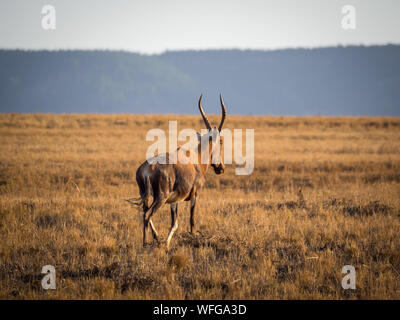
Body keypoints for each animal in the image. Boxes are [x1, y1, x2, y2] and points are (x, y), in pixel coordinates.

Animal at [130, 94, 227, 249]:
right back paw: (145, 243)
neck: (195, 158)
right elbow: (191, 220)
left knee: (144, 212)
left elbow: (174, 223)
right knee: (147, 215)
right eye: (221, 141)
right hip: (160, 197)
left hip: (146, 195)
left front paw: (167, 243)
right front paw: (192, 238)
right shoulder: (194, 194)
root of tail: (146, 169)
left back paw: (155, 238)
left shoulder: (174, 201)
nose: (221, 168)